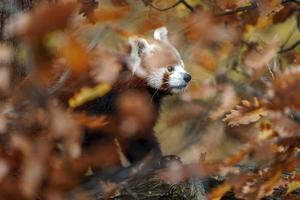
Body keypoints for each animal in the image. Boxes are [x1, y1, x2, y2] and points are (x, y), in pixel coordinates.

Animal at [77, 26, 190, 168]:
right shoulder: (105, 103)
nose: (188, 77)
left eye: (182, 65)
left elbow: (139, 135)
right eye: (170, 68)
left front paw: (162, 159)